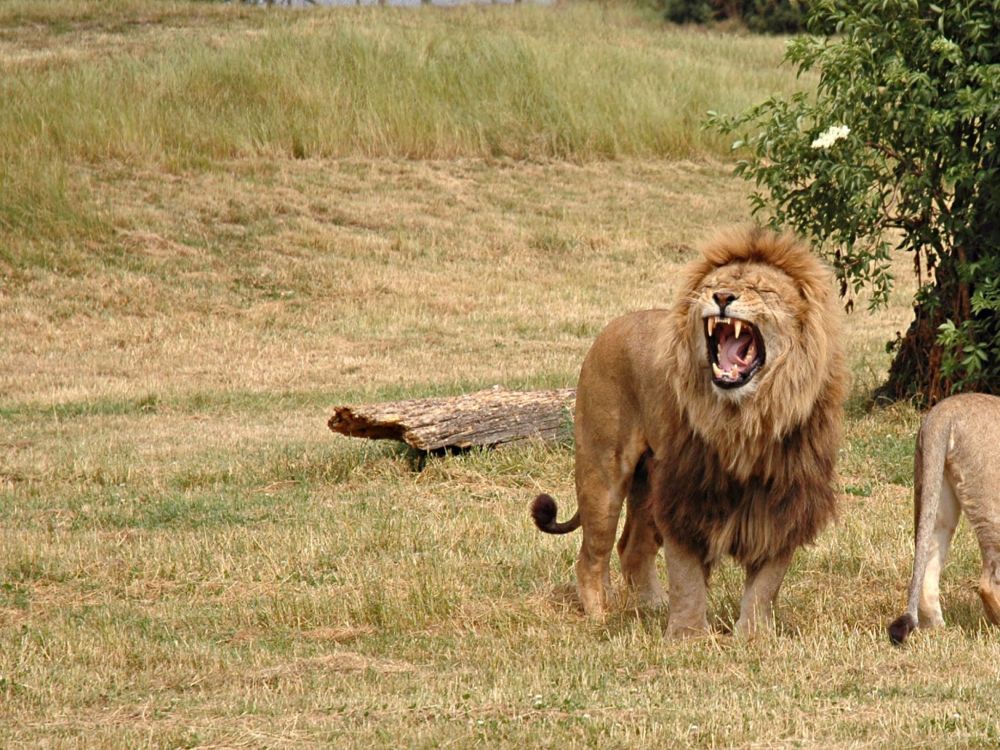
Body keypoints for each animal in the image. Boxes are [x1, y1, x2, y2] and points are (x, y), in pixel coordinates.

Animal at [528, 226, 848, 636]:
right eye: (713, 285)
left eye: (761, 289)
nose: (722, 297)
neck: (745, 419)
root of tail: (614, 325)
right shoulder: (686, 494)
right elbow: (687, 578)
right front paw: (687, 637)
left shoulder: (784, 500)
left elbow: (766, 584)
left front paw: (753, 637)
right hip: (602, 472)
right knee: (592, 555)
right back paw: (601, 616)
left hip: (648, 482)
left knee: (632, 548)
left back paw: (651, 607)